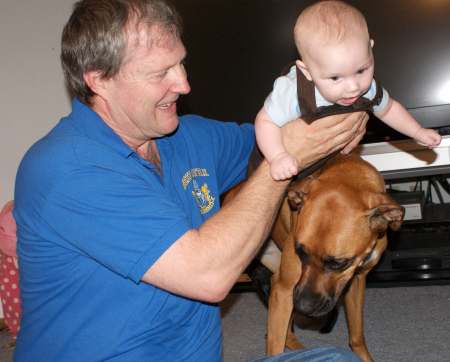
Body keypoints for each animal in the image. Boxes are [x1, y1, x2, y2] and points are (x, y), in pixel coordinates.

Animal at [225, 153, 404, 362]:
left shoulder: (357, 281)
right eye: (301, 252)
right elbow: (275, 348)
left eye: (339, 263)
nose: (304, 307)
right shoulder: (284, 287)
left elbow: (357, 335)